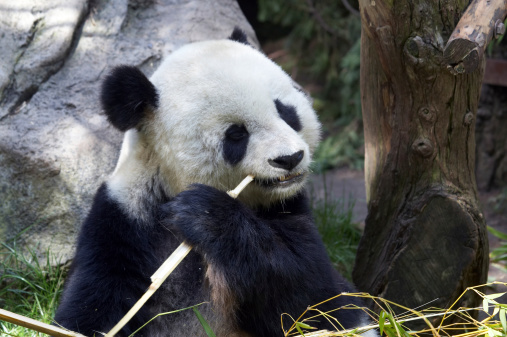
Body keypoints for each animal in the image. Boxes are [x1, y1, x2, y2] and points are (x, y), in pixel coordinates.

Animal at [53, 29, 376, 336]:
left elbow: (315, 299)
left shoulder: (289, 208)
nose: (289, 158)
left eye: (286, 111)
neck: (172, 185)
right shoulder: (122, 223)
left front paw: (204, 213)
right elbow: (93, 304)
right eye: (236, 134)